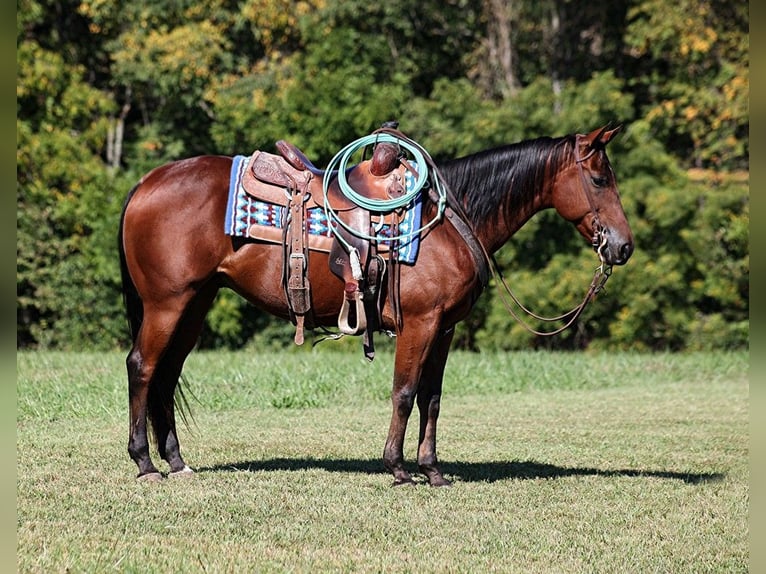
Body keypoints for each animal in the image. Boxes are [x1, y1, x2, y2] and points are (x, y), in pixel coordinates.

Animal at [120, 125, 636, 486]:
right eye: (599, 178)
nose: (624, 246)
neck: (447, 221)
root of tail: (147, 182)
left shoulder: (444, 329)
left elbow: (432, 398)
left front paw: (433, 470)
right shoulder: (419, 324)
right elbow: (404, 393)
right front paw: (398, 468)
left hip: (195, 304)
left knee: (167, 374)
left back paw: (176, 461)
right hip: (167, 303)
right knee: (143, 366)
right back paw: (145, 462)